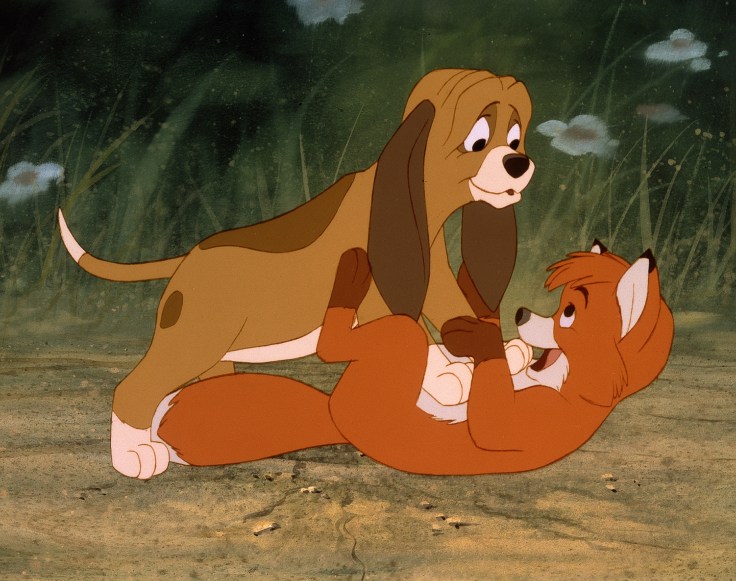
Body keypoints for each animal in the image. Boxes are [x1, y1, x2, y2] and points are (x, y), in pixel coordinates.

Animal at [155, 242, 674, 475]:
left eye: (569, 312)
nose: (521, 313)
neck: (576, 391)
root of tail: (334, 419)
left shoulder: (532, 423)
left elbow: (492, 426)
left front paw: (486, 342)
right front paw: (491, 335)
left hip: (389, 351)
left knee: (336, 344)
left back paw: (352, 274)